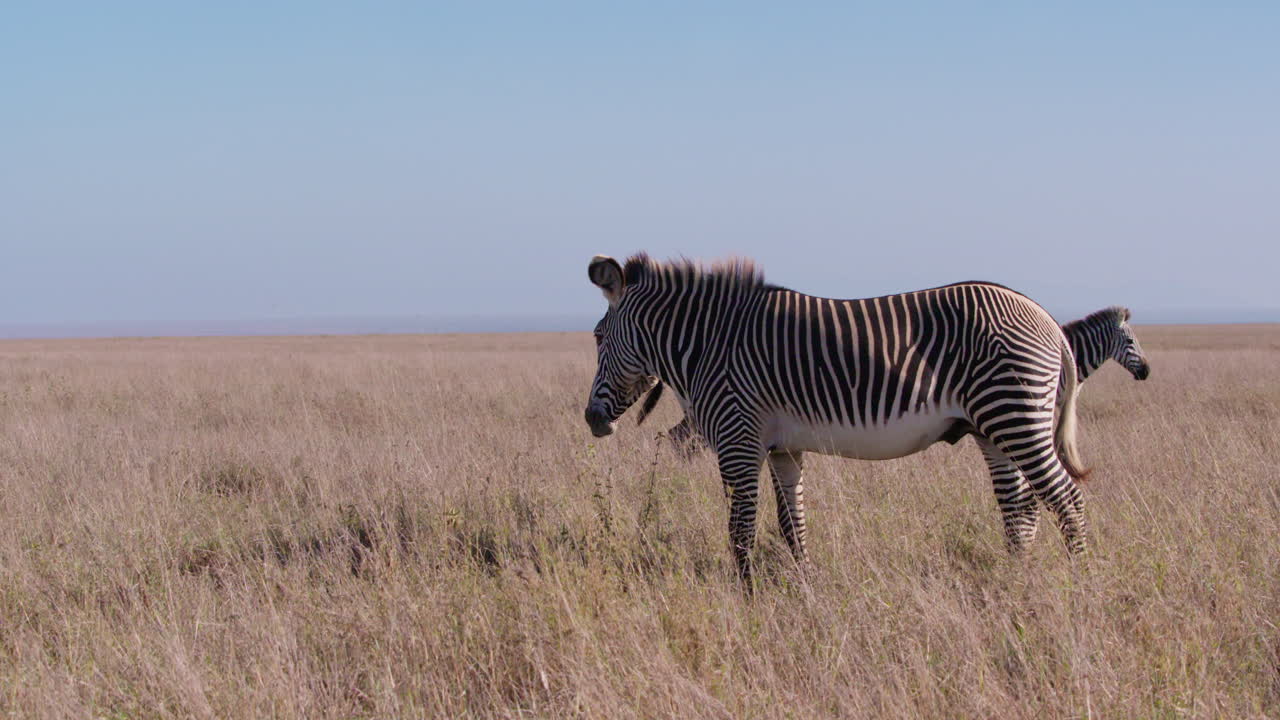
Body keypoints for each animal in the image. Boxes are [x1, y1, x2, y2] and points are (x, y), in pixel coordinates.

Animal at [583, 253, 1090, 583]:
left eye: (597, 336)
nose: (591, 419)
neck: (711, 344)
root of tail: (1045, 317)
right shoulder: (783, 449)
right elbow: (791, 524)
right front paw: (805, 587)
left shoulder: (738, 441)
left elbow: (740, 528)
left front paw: (745, 595)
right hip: (994, 429)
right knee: (1020, 508)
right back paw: (1016, 580)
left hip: (1014, 414)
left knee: (1066, 499)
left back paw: (1080, 583)